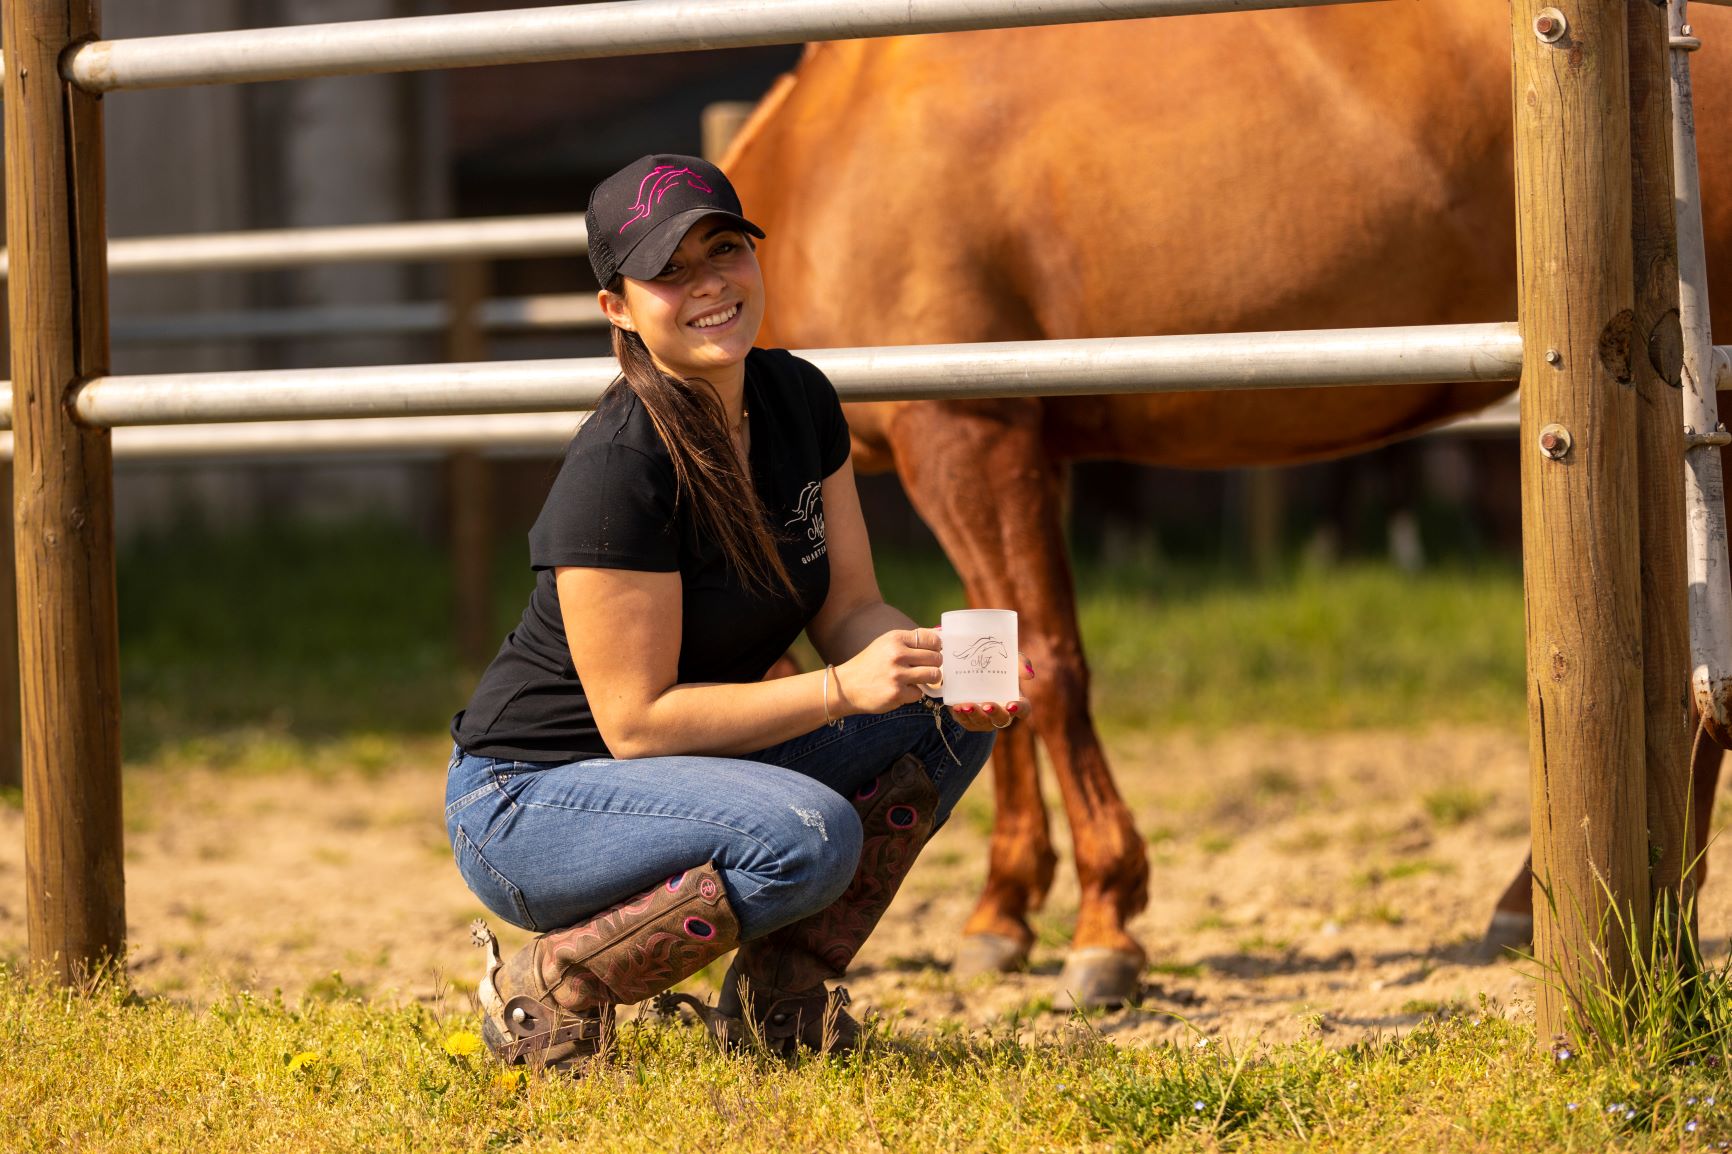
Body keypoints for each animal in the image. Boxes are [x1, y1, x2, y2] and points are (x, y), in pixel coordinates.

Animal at [720, 0, 1732, 1004]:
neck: (832, 161)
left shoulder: (967, 437)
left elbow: (1047, 669)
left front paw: (1103, 923)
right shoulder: (1009, 452)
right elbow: (980, 666)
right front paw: (1002, 912)